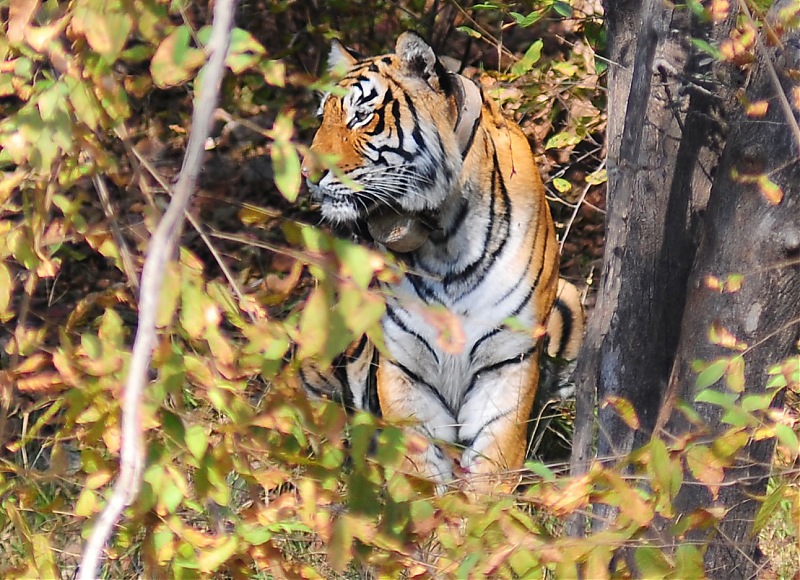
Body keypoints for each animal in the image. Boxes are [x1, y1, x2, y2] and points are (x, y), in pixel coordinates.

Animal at [300, 31, 580, 490]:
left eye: (362, 116)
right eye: (323, 118)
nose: (308, 174)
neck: (444, 237)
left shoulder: (508, 363)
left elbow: (492, 467)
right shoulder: (404, 369)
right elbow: (420, 473)